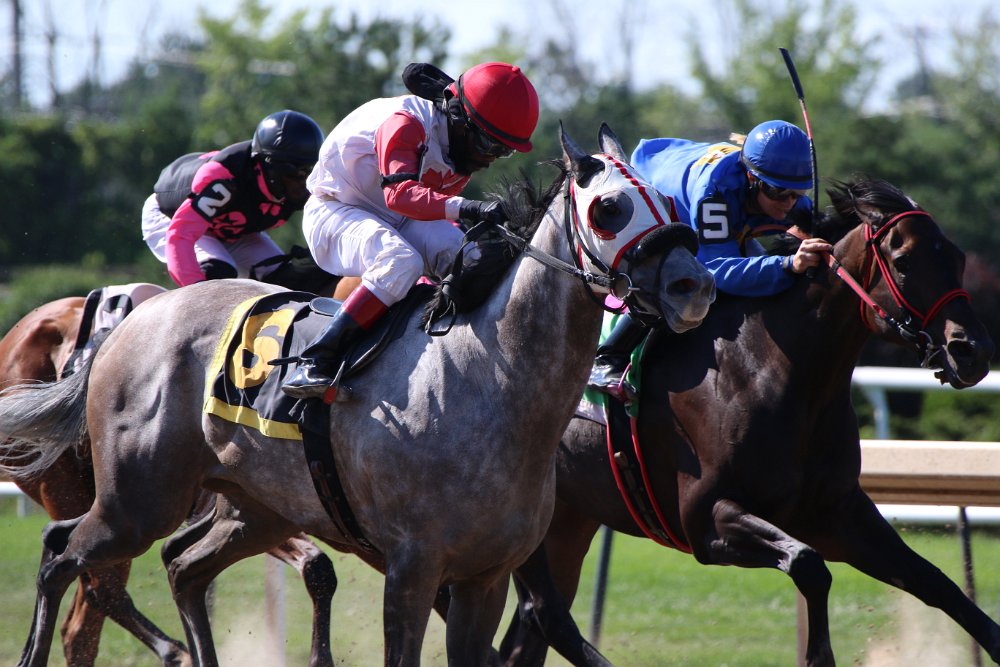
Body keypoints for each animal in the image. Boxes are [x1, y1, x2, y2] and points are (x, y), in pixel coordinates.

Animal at [0, 285, 339, 667]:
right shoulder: (261, 504)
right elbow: (316, 565)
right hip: (92, 495)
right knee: (96, 592)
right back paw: (175, 652)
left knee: (65, 556)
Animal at [498, 177, 999, 667]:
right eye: (904, 261)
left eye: (957, 258)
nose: (972, 351)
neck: (774, 370)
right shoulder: (706, 519)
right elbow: (809, 565)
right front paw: (818, 656)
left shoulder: (836, 513)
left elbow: (934, 581)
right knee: (544, 613)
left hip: (568, 520)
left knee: (530, 631)